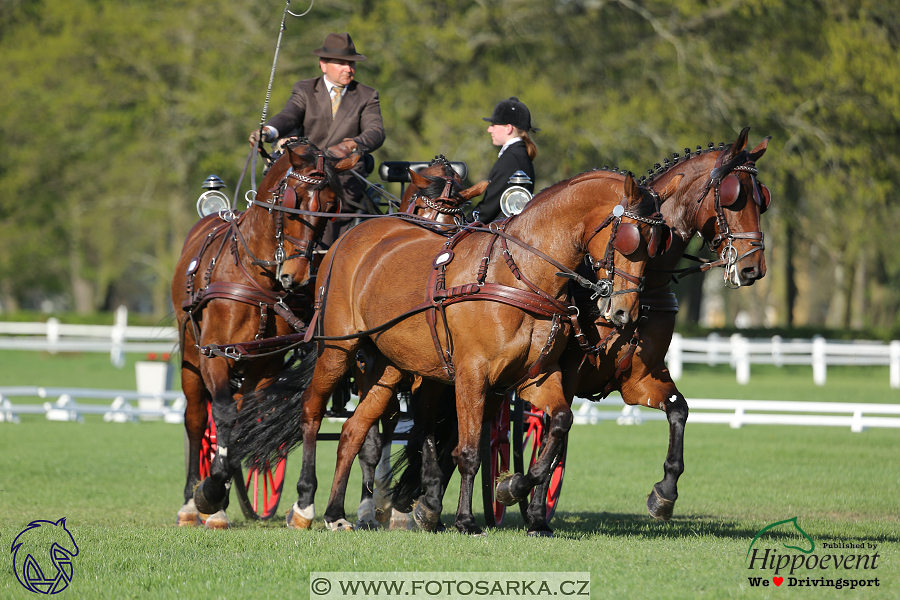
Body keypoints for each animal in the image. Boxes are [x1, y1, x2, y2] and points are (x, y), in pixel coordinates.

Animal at [171, 138, 358, 528]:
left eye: (331, 207)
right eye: (292, 203)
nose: (295, 276)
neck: (254, 277)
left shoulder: (265, 364)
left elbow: (244, 422)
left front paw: (220, 488)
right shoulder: (214, 353)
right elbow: (223, 415)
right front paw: (208, 493)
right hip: (191, 354)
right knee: (196, 419)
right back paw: (192, 503)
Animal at [234, 170, 668, 536]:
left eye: (657, 246)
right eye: (629, 240)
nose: (625, 312)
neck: (520, 273)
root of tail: (353, 235)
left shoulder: (536, 378)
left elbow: (560, 423)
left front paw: (513, 487)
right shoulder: (472, 375)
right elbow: (468, 449)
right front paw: (464, 519)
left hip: (389, 369)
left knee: (353, 431)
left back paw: (337, 512)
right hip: (339, 348)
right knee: (311, 412)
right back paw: (306, 504)